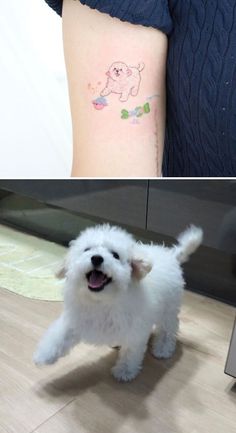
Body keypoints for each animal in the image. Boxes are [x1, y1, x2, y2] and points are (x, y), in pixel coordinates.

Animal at [33, 224, 203, 380]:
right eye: (87, 250)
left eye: (115, 255)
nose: (96, 258)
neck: (101, 300)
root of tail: (171, 255)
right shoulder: (76, 319)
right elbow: (59, 335)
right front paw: (44, 354)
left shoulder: (135, 331)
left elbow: (130, 352)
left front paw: (125, 371)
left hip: (168, 309)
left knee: (168, 329)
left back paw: (163, 348)